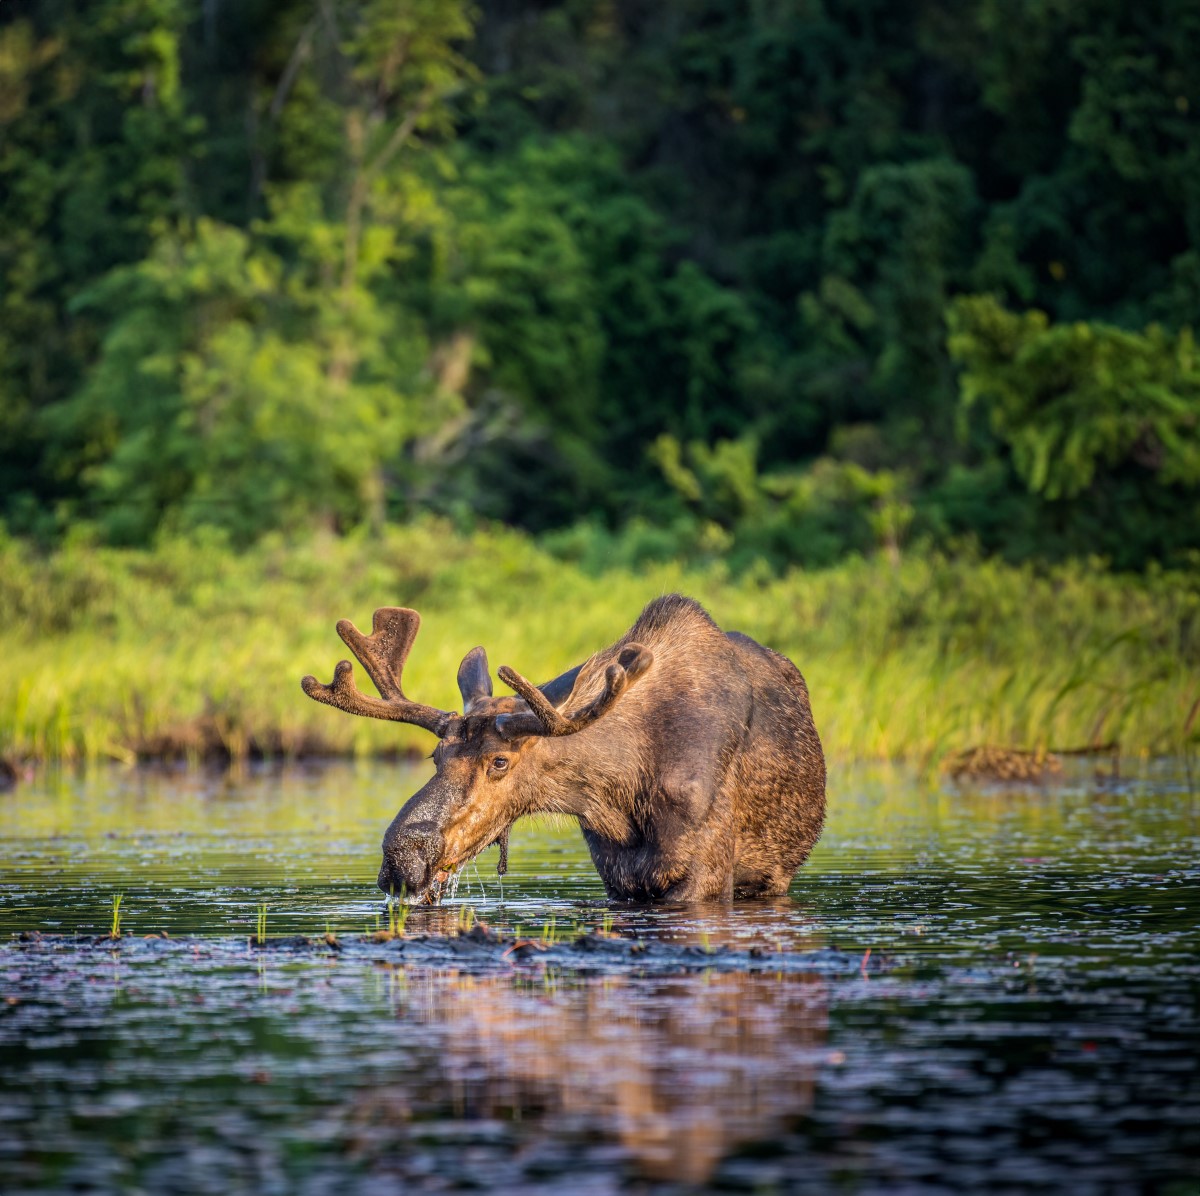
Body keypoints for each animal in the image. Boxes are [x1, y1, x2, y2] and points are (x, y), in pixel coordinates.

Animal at [301, 594, 826, 903]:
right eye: (436, 757)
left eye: (500, 761)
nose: (401, 859)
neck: (622, 792)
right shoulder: (616, 875)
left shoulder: (705, 874)